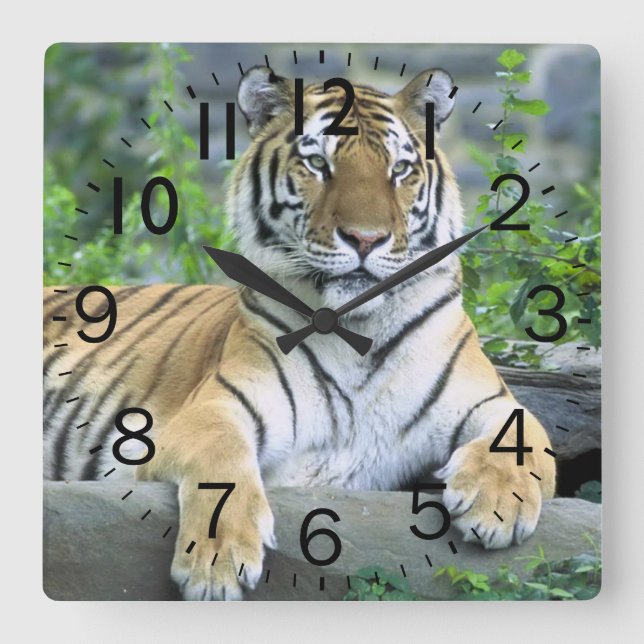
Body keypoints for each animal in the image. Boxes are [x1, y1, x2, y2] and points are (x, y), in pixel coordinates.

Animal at [43, 65, 555, 601]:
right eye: (317, 163)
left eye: (399, 170)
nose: (366, 239)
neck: (357, 329)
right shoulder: (215, 408)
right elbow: (223, 459)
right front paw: (215, 567)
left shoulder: (488, 400)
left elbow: (525, 434)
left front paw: (496, 508)